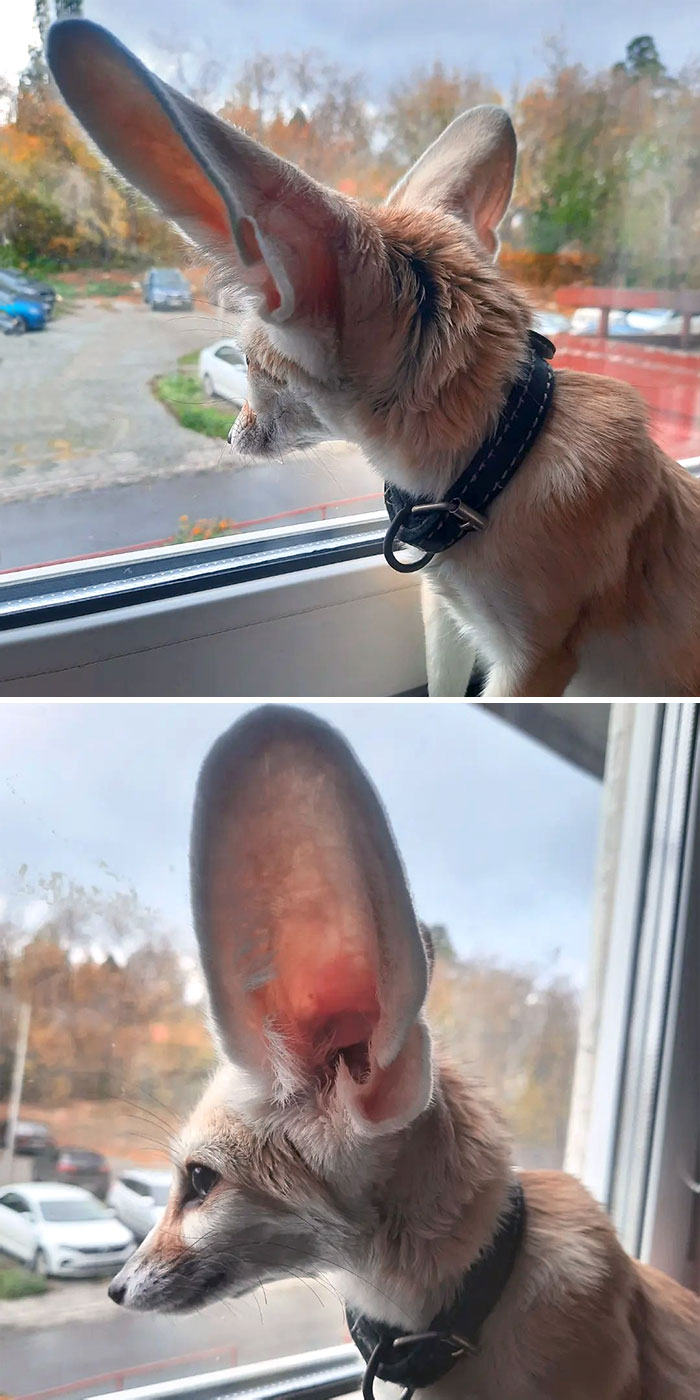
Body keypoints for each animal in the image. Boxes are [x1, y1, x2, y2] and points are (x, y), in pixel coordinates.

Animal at [47, 19, 700, 699]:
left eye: (249, 366)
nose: (229, 436)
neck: (499, 459)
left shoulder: (530, 662)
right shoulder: (447, 615)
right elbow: (443, 694)